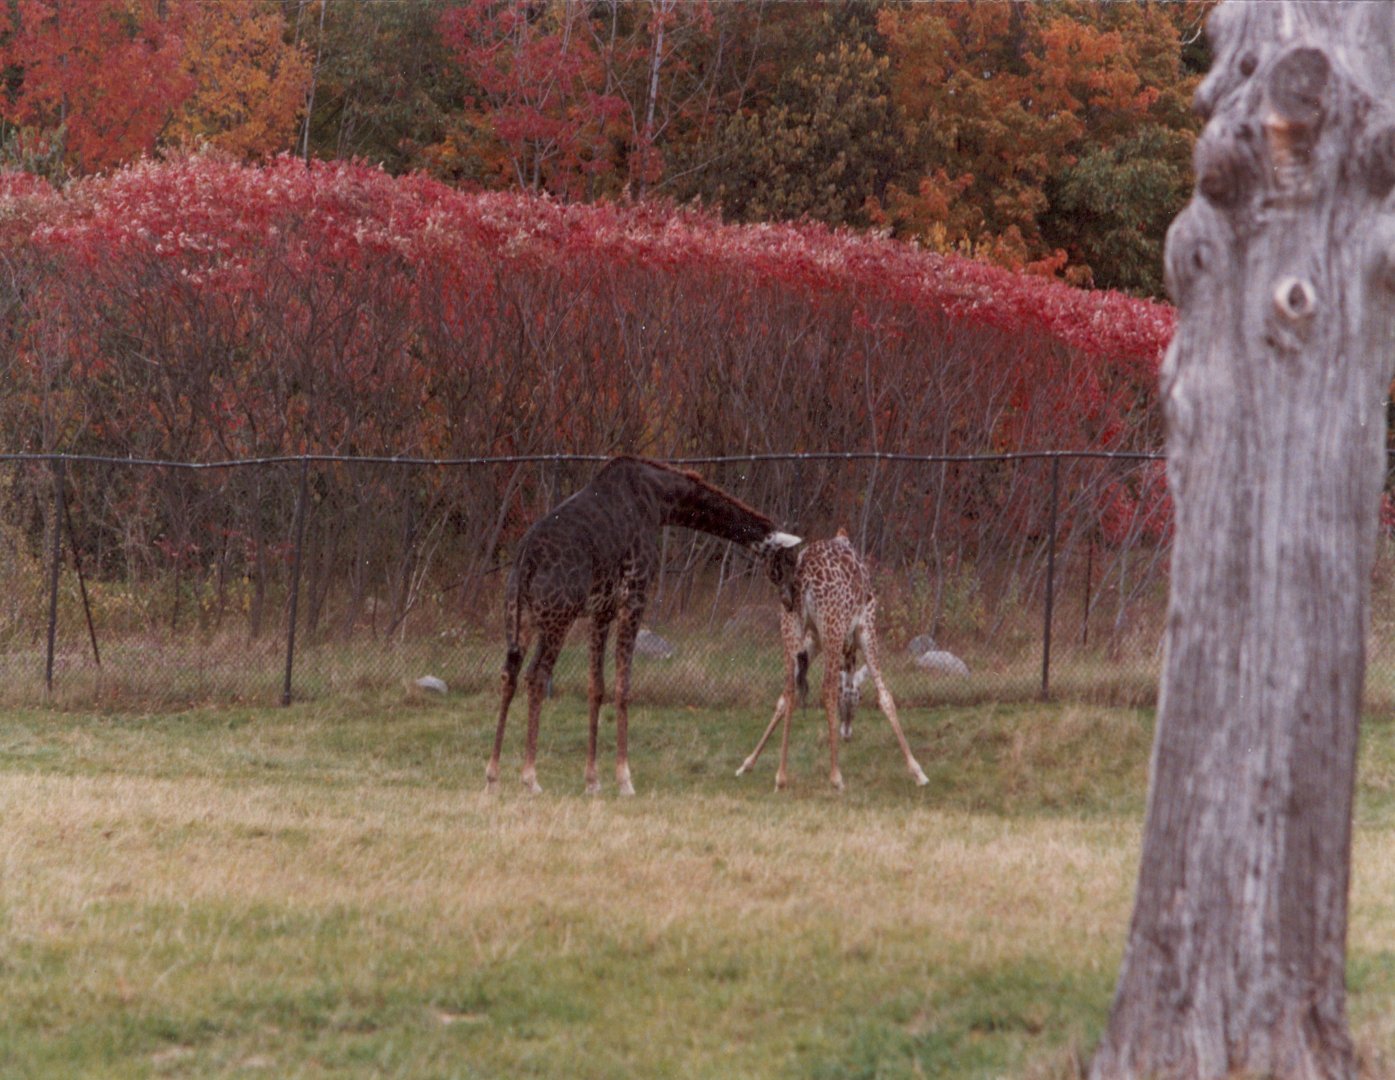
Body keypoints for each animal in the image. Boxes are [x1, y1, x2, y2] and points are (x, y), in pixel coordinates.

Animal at [487, 456, 800, 796]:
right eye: (787, 563)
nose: (792, 601)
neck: (661, 500)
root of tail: (524, 561)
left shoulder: (602, 611)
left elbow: (596, 687)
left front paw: (593, 780)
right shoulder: (634, 599)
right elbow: (623, 687)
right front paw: (625, 779)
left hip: (520, 618)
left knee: (508, 674)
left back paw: (493, 775)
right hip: (558, 617)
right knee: (536, 676)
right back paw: (530, 777)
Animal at [737, 529, 929, 791]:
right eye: (859, 698)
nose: (846, 734)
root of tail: (803, 579)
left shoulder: (814, 639)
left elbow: (783, 700)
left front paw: (748, 763)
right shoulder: (865, 625)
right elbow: (886, 697)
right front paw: (917, 771)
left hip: (791, 626)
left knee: (790, 689)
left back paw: (781, 777)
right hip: (833, 627)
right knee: (826, 688)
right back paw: (836, 776)